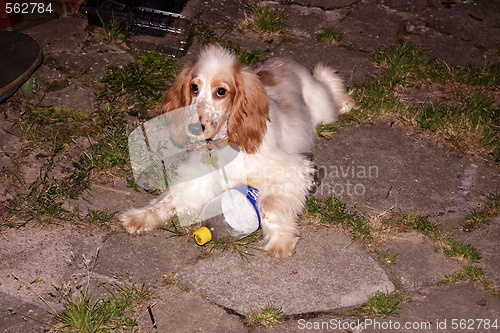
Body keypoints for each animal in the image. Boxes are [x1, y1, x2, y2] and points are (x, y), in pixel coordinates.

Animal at [120, 44, 356, 256]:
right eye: (194, 88)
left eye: (221, 92)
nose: (195, 128)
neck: (222, 145)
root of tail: (282, 58)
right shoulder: (198, 180)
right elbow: (167, 199)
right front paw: (139, 217)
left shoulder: (291, 169)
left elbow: (268, 206)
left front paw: (280, 241)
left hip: (322, 108)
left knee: (328, 85)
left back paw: (344, 100)